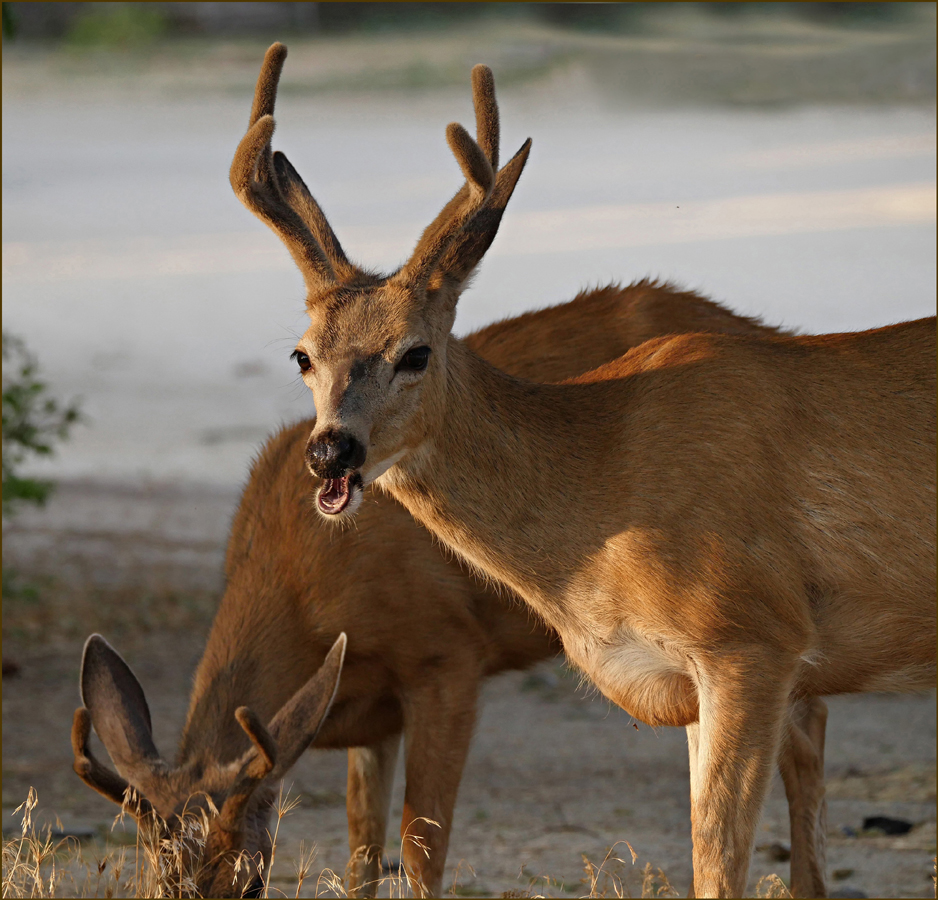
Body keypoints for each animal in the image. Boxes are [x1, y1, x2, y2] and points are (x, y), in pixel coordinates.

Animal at [229, 40, 936, 892]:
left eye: (416, 353)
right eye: (303, 355)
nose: (332, 449)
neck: (604, 481)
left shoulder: (751, 635)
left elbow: (716, 861)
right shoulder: (693, 681)